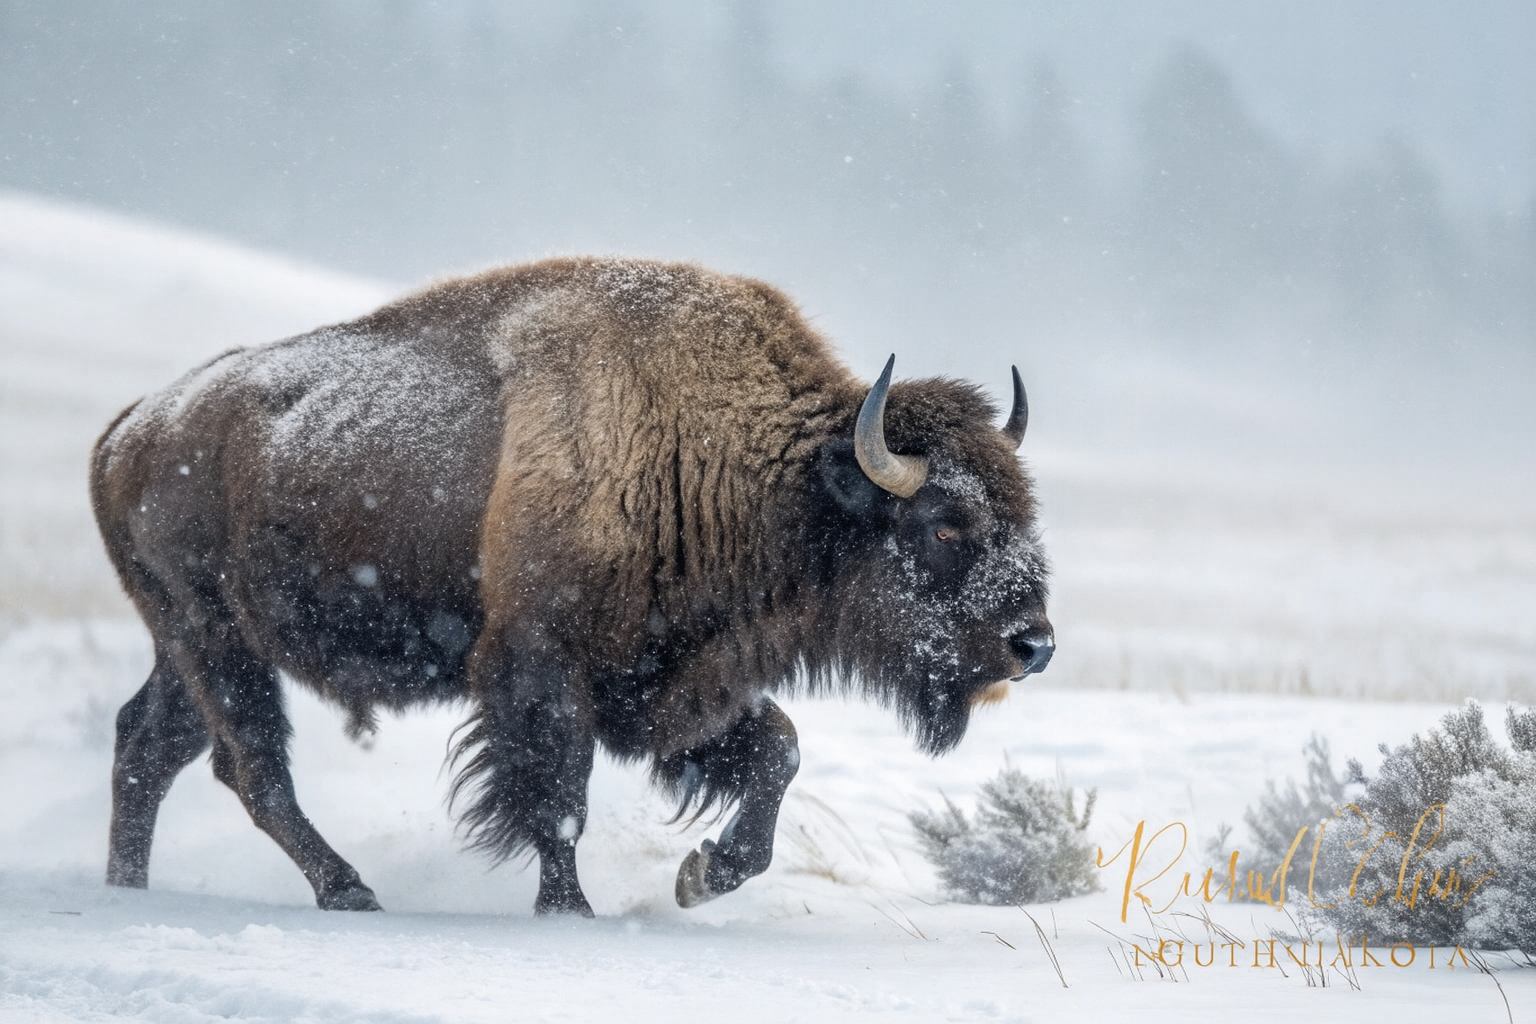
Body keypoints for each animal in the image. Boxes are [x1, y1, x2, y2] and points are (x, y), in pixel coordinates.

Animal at [91, 256, 1054, 916]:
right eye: (944, 525)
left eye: (1023, 511)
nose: (1034, 643)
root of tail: (131, 428)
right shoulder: (541, 670)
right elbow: (558, 799)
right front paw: (571, 911)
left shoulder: (678, 680)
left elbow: (776, 750)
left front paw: (702, 876)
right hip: (215, 640)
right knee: (250, 766)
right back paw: (349, 892)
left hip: (192, 647)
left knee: (150, 743)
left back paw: (128, 886)